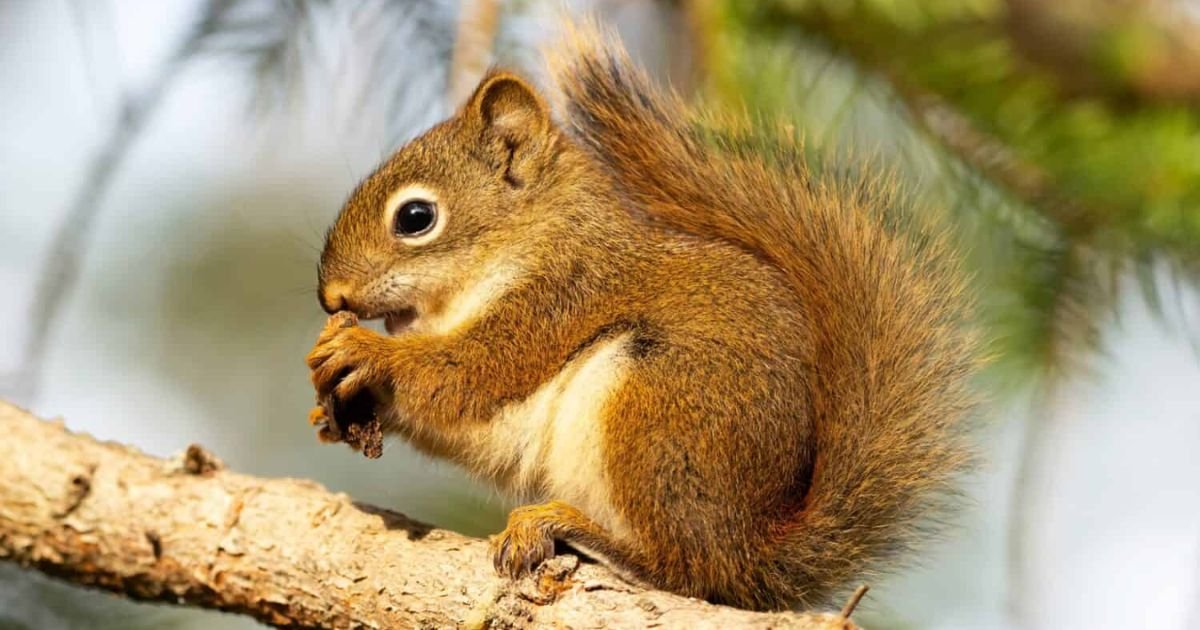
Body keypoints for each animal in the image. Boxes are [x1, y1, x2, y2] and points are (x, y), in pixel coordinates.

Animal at [304, 20, 979, 611]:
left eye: (415, 217)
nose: (332, 297)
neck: (529, 242)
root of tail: (753, 552)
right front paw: (331, 408)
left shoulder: (560, 299)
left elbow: (468, 374)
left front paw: (366, 353)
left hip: (654, 411)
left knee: (685, 569)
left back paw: (570, 528)